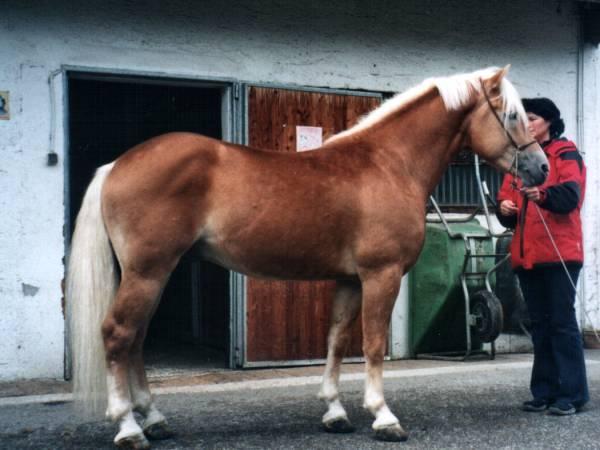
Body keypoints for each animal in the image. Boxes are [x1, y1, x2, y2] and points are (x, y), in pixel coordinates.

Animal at [65, 65, 548, 448]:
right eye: (511, 115)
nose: (540, 168)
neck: (389, 163)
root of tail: (118, 165)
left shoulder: (350, 279)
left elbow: (336, 340)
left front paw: (335, 413)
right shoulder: (381, 274)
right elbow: (372, 343)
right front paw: (383, 416)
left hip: (152, 273)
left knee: (136, 339)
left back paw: (155, 419)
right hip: (148, 271)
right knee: (118, 334)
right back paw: (129, 427)